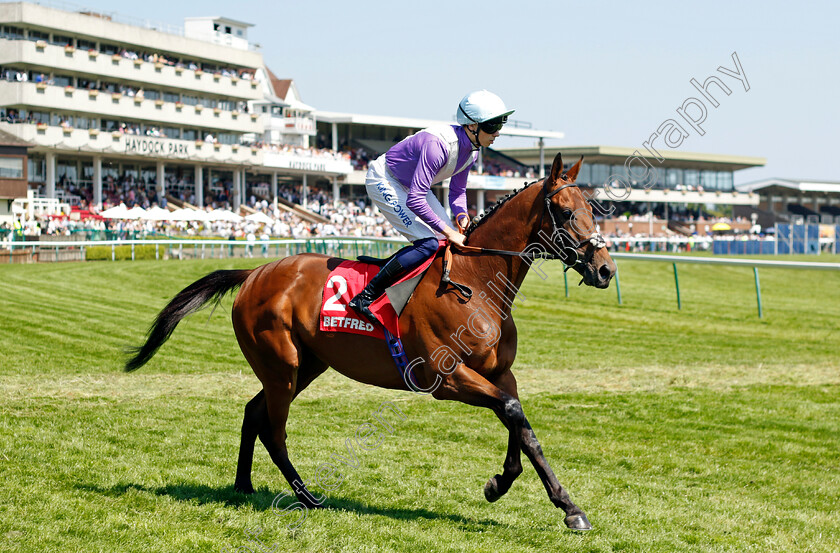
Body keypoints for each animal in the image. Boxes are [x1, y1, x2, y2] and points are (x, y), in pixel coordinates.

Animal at [130, 152, 616, 532]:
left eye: (593, 209)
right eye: (565, 212)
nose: (606, 269)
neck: (475, 282)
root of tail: (255, 272)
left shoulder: (499, 372)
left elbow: (522, 426)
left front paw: (555, 502)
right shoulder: (446, 379)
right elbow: (513, 412)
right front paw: (518, 489)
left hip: (304, 365)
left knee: (254, 413)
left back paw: (243, 485)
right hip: (281, 366)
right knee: (274, 428)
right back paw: (306, 497)